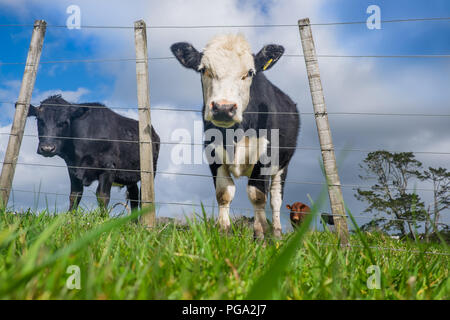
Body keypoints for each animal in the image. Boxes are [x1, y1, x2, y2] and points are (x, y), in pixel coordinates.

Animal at [26, 95, 160, 212]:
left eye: (64, 122)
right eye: (39, 120)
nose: (47, 148)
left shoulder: (109, 167)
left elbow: (102, 196)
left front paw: (104, 219)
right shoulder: (72, 168)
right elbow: (75, 195)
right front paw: (69, 218)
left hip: (150, 171)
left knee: (143, 197)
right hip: (129, 176)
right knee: (134, 196)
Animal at [171, 34, 300, 240]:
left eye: (250, 72)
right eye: (203, 69)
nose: (224, 108)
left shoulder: (265, 155)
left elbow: (257, 195)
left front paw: (260, 236)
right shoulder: (212, 154)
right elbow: (224, 192)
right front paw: (224, 233)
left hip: (283, 165)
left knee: (276, 198)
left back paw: (277, 233)